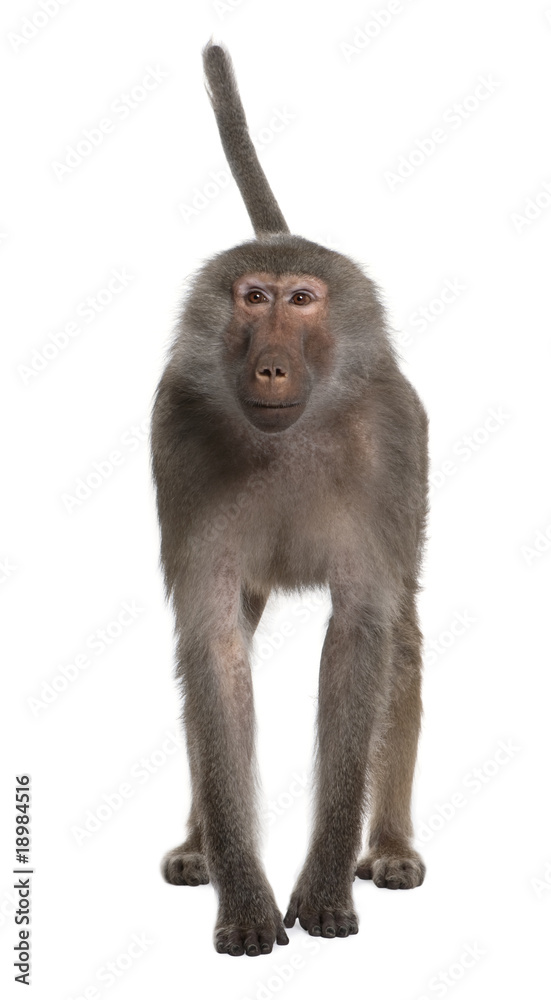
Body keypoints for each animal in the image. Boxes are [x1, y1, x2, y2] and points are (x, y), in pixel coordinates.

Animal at [151, 41, 428, 958]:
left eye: (302, 300)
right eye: (253, 298)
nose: (271, 365)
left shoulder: (387, 448)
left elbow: (361, 640)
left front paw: (326, 885)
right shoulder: (178, 438)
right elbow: (213, 650)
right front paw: (242, 894)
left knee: (400, 639)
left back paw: (389, 847)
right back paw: (200, 844)